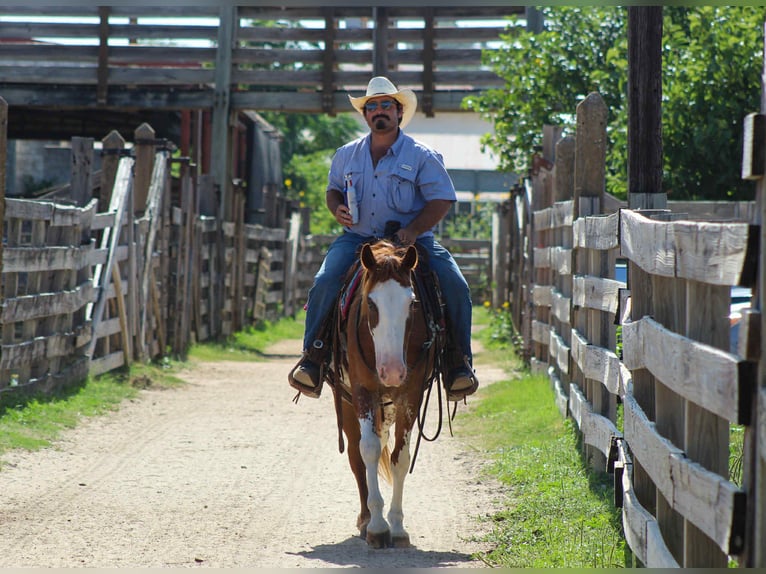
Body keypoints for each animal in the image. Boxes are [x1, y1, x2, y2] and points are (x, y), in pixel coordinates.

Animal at [328, 239, 441, 549]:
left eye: (412, 302)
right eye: (370, 302)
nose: (391, 371)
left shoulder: (410, 395)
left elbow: (400, 458)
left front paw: (398, 526)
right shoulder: (362, 391)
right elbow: (368, 451)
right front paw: (378, 527)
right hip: (347, 403)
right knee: (356, 454)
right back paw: (366, 519)